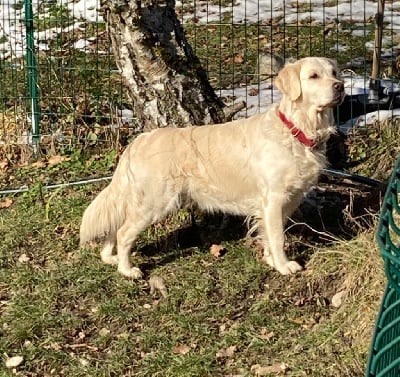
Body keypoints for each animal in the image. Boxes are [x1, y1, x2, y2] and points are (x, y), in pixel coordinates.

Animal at [79, 57, 346, 278]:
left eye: (334, 72)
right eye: (313, 76)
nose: (340, 86)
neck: (296, 130)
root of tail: (139, 141)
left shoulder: (287, 200)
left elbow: (269, 235)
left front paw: (271, 260)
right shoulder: (274, 198)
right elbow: (278, 237)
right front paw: (283, 266)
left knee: (115, 228)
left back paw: (110, 258)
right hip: (155, 202)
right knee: (123, 233)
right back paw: (128, 270)